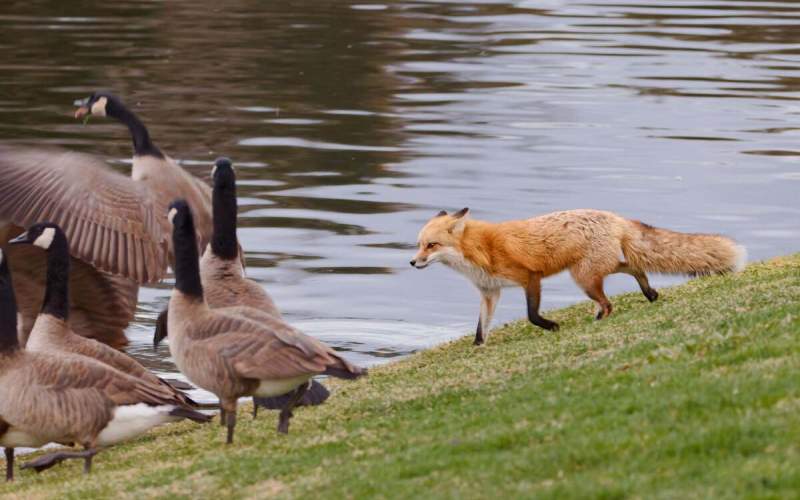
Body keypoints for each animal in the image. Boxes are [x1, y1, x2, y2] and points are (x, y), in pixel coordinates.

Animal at [410, 207, 748, 344]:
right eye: (418, 244)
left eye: (431, 245)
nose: (412, 262)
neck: (481, 249)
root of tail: (615, 217)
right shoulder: (490, 292)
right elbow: (481, 329)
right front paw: (477, 348)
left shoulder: (530, 277)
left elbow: (532, 315)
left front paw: (552, 326)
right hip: (594, 270)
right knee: (633, 267)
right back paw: (649, 293)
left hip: (583, 277)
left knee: (610, 301)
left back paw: (601, 319)